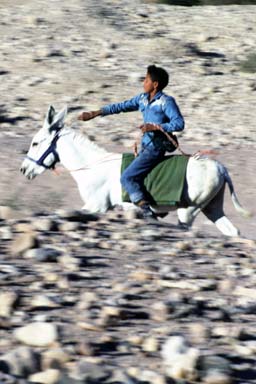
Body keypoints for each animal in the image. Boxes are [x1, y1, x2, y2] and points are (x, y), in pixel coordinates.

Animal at [20, 106, 250, 237]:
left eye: (35, 143)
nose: (24, 169)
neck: (92, 166)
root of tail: (220, 168)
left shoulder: (96, 206)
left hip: (189, 210)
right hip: (211, 208)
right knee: (233, 232)